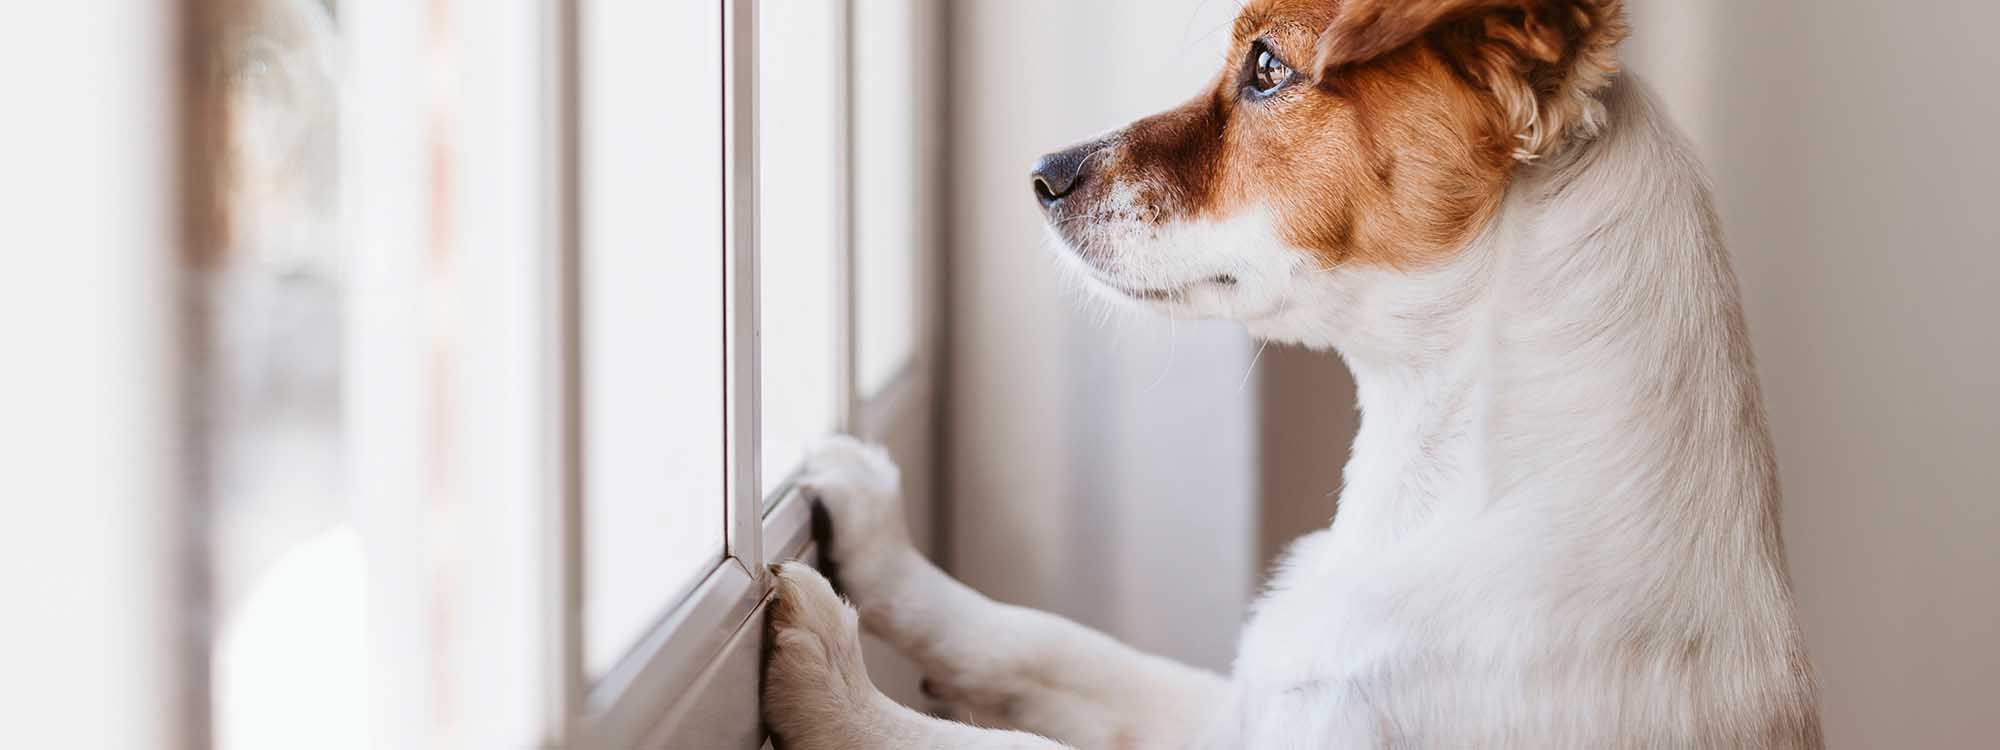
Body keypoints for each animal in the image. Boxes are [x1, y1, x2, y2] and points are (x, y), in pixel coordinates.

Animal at [756, 2, 1824, 748]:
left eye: (1268, 68)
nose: (1042, 174)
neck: (1441, 494)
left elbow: (1006, 748)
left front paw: (838, 686)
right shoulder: (1243, 706)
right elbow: (1046, 641)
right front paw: (881, 544)